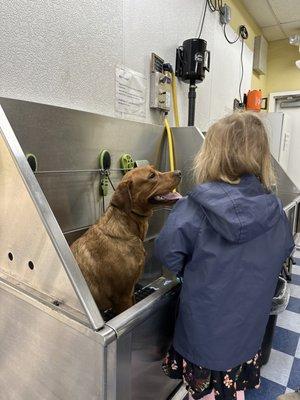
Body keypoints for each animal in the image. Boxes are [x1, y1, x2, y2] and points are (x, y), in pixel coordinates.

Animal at [71, 166, 182, 316]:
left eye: (155, 170)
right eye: (152, 176)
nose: (179, 172)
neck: (128, 228)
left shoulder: (131, 290)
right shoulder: (122, 296)